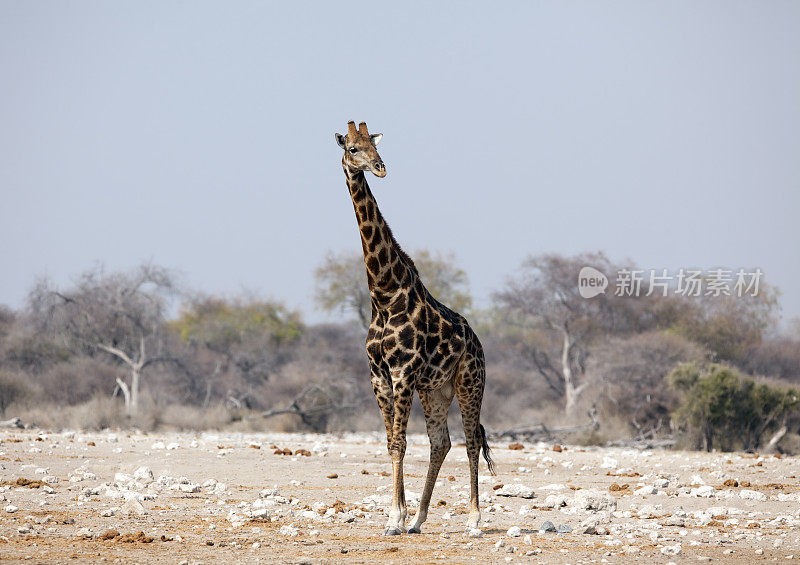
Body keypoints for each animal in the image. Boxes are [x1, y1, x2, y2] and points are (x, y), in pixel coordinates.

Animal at [332, 119, 494, 532]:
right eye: (352, 148)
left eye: (373, 146)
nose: (380, 168)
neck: (384, 295)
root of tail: (479, 343)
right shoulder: (379, 376)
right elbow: (392, 442)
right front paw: (399, 515)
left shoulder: (402, 372)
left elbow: (400, 444)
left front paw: (394, 517)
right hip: (435, 390)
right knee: (442, 442)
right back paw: (420, 519)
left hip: (469, 382)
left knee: (471, 439)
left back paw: (473, 519)